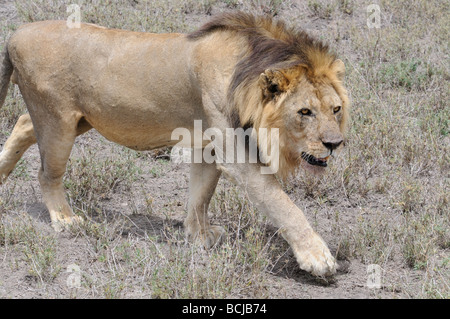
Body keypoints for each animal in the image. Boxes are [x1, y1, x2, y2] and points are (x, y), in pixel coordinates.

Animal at [0, 11, 350, 278]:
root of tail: (17, 31)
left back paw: (1, 174)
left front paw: (200, 236)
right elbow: (283, 204)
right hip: (58, 121)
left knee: (23, 123)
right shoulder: (236, 155)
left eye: (335, 109)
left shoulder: (208, 145)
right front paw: (317, 257)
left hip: (79, 119)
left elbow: (201, 194)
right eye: (304, 112)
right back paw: (64, 220)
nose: (335, 144)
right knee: (46, 172)